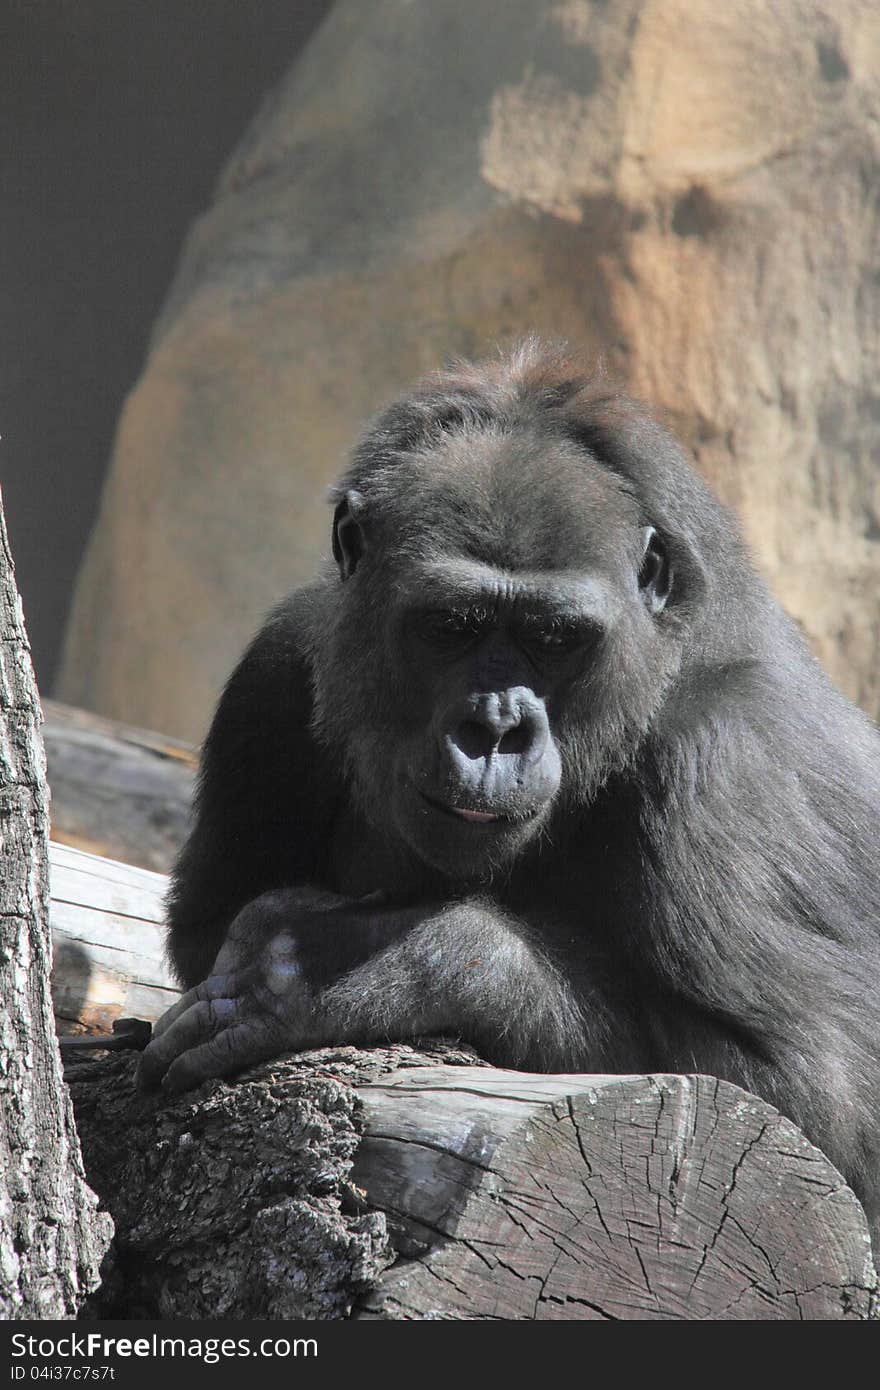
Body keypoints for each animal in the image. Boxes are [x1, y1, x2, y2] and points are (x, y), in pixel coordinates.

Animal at [140, 341, 878, 1234]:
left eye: (554, 637)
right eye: (451, 626)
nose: (494, 730)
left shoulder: (720, 759)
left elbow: (814, 1104)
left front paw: (370, 969)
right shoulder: (282, 660)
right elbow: (204, 928)